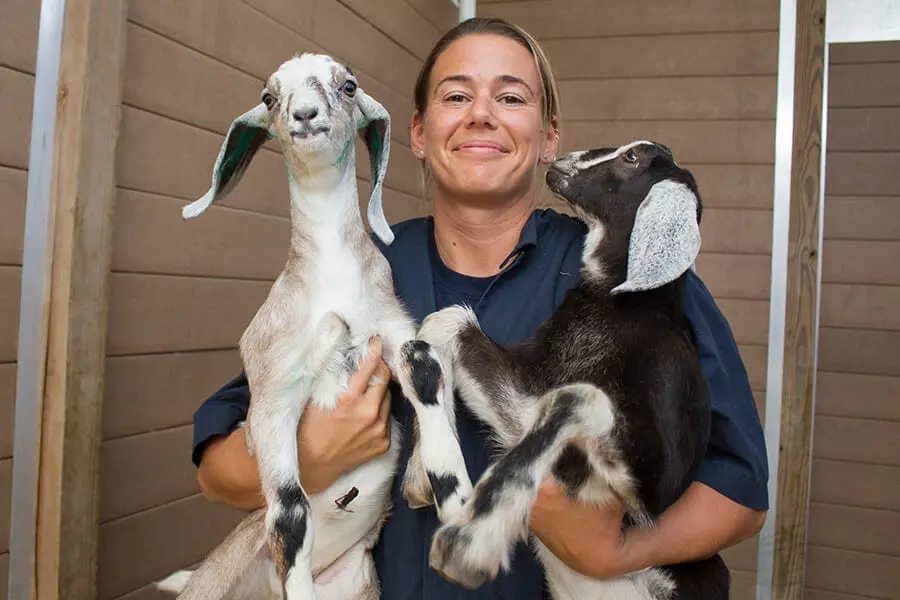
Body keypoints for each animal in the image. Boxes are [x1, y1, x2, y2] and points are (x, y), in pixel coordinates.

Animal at [158, 52, 474, 600]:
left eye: (347, 85)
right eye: (268, 96)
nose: (304, 114)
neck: (330, 281)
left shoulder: (389, 328)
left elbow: (424, 363)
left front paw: (451, 495)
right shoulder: (272, 391)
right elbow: (289, 513)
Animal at [412, 142, 728, 600]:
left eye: (632, 158)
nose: (563, 160)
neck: (627, 307)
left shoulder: (652, 485)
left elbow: (577, 395)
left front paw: (472, 541)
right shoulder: (524, 392)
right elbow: (444, 321)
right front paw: (417, 473)